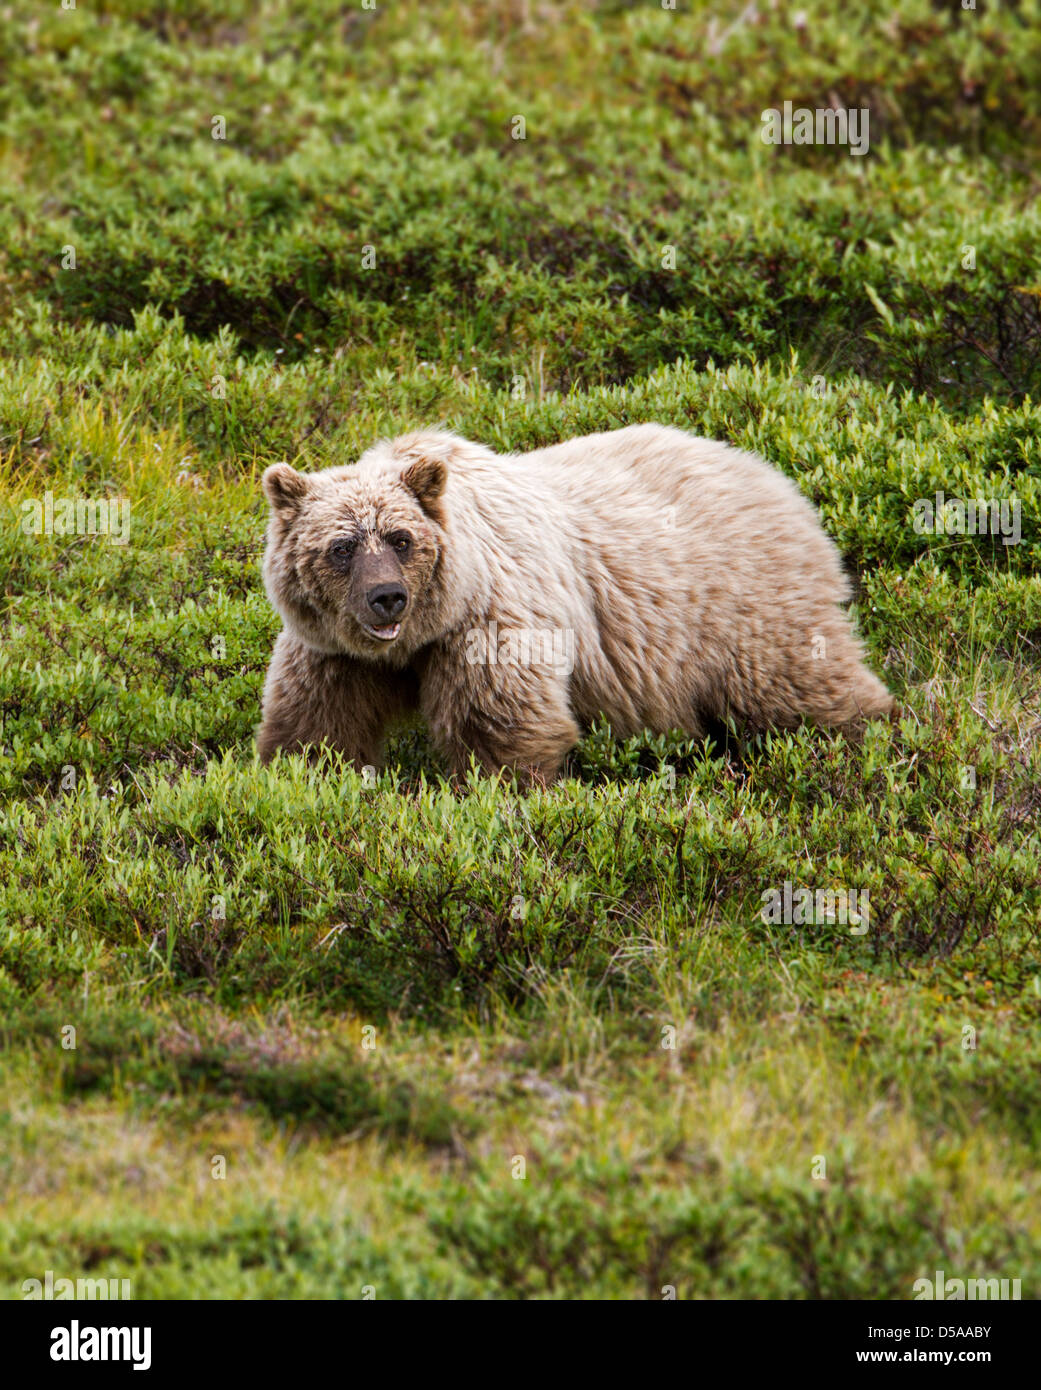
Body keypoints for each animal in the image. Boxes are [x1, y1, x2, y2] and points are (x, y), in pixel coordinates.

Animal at [255, 422, 889, 789]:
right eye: (341, 546)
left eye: (400, 538)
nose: (387, 598)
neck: (422, 635)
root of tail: (776, 477)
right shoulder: (333, 652)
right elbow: (318, 725)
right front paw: (303, 780)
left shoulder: (490, 619)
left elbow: (503, 723)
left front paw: (500, 793)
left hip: (743, 605)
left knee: (799, 685)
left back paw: (866, 736)